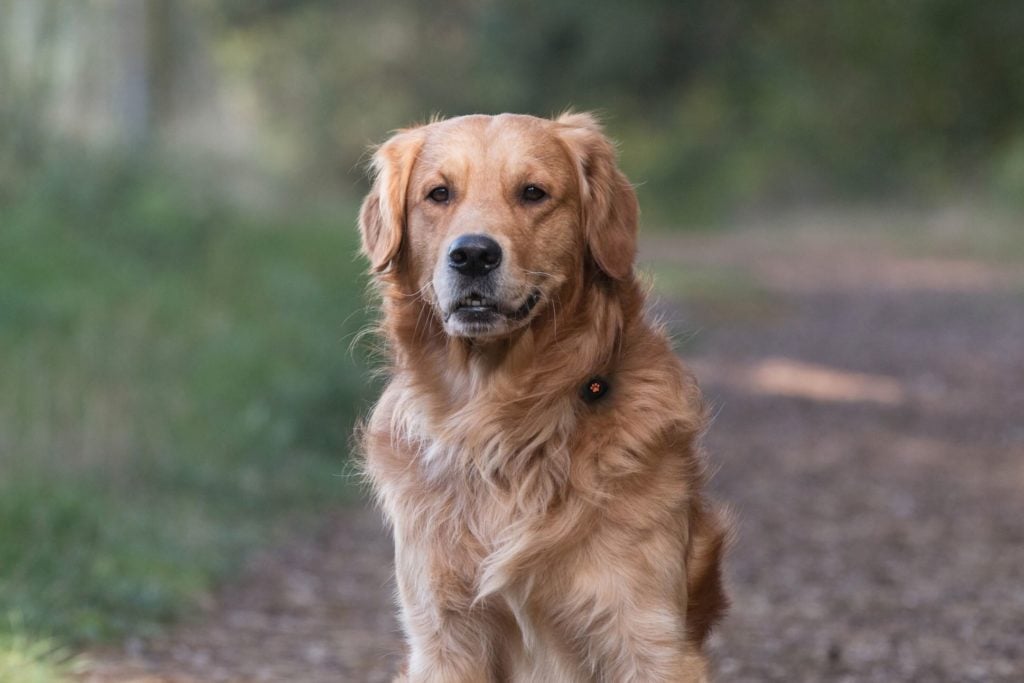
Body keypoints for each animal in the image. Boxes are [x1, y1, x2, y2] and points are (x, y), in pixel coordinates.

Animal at [360, 113, 729, 683]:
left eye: (533, 192)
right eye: (438, 193)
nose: (473, 254)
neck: (503, 422)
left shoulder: (650, 636)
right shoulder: (443, 634)